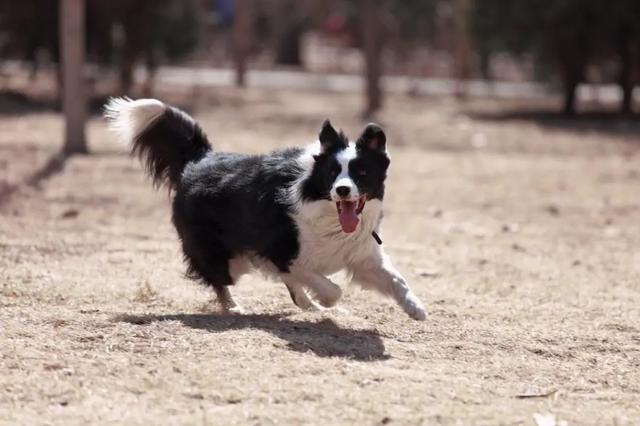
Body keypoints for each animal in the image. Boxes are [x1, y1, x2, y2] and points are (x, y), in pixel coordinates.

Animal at [105, 99, 424, 320]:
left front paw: (415, 308)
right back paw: (235, 307)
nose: (342, 190)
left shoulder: (361, 255)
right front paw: (325, 301)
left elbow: (397, 279)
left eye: (362, 173)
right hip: (225, 258)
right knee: (221, 280)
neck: (326, 211)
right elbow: (330, 287)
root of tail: (200, 158)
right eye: (333, 173)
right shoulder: (283, 251)